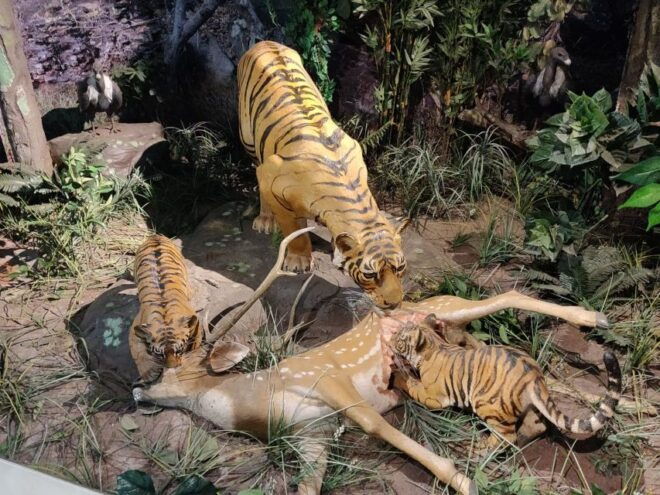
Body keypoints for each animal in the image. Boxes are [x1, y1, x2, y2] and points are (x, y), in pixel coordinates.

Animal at [129, 235, 201, 381]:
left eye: (179, 350)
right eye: (159, 354)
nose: (172, 368)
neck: (165, 316)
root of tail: (154, 235)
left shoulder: (194, 317)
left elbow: (196, 335)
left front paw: (194, 349)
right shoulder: (135, 327)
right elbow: (137, 350)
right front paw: (148, 373)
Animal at [237, 40, 407, 309]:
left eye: (400, 268)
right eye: (370, 274)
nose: (394, 304)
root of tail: (265, 42)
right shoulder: (271, 173)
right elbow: (291, 228)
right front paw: (298, 260)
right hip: (250, 142)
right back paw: (265, 220)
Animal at [391, 314, 621, 448]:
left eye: (400, 338)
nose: (391, 337)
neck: (435, 344)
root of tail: (534, 375)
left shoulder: (433, 396)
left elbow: (412, 385)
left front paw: (398, 376)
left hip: (488, 404)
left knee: (506, 437)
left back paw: (482, 447)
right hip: (530, 406)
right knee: (536, 426)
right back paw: (523, 440)